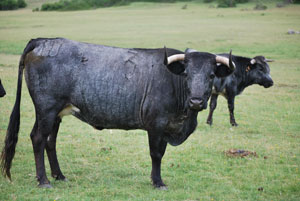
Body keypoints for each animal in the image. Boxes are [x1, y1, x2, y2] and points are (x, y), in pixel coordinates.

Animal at [0, 37, 234, 188]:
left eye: (211, 75)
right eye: (187, 74)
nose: (196, 101)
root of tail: (43, 41)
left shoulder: (166, 128)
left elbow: (161, 153)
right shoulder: (155, 126)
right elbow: (156, 154)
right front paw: (157, 182)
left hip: (56, 113)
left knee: (50, 141)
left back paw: (59, 175)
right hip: (46, 109)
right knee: (38, 138)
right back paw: (44, 180)